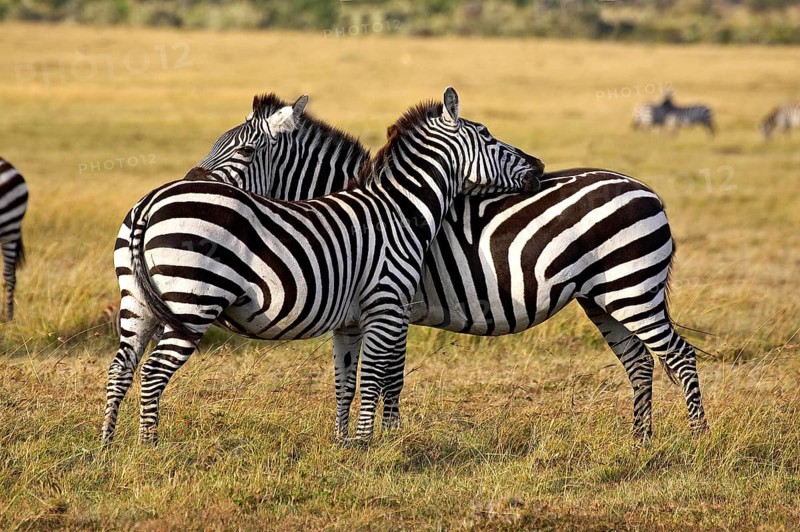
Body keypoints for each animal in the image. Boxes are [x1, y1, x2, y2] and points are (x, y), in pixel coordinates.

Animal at [101, 88, 543, 446]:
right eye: (488, 137)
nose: (539, 166)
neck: (399, 211)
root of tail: (149, 203)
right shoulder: (386, 306)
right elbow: (378, 378)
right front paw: (369, 445)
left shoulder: (351, 321)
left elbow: (346, 382)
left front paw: (344, 443)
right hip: (192, 302)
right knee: (153, 372)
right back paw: (149, 446)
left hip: (137, 301)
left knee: (121, 367)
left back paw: (108, 447)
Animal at [179, 93, 709, 441]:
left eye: (243, 150)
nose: (191, 185)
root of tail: (646, 189)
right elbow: (366, 379)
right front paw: (366, 438)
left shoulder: (393, 306)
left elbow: (389, 376)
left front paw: (386, 438)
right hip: (602, 296)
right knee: (640, 360)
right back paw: (640, 440)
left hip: (631, 286)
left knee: (679, 356)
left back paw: (696, 439)